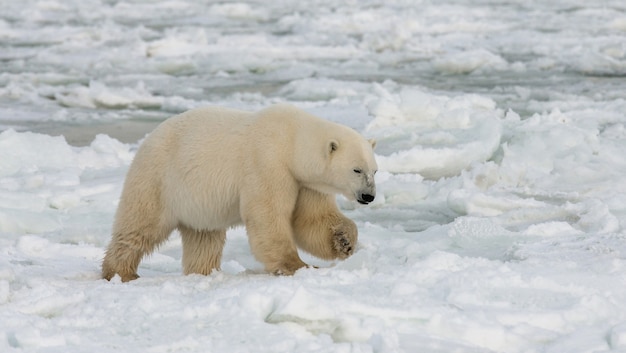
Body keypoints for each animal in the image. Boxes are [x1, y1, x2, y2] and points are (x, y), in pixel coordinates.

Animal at [102, 102, 376, 280]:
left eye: (375, 170)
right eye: (356, 170)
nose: (369, 196)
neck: (291, 140)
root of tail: (147, 140)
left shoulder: (305, 182)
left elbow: (312, 220)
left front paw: (345, 241)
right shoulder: (267, 163)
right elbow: (268, 215)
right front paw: (298, 266)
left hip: (199, 203)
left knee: (204, 237)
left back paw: (204, 273)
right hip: (158, 179)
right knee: (140, 226)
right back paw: (120, 272)